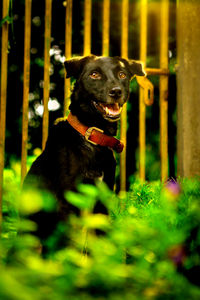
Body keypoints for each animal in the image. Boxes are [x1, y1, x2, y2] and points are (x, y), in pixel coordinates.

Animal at [23, 56, 145, 248]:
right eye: (94, 75)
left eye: (122, 74)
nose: (116, 91)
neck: (93, 137)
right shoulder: (67, 201)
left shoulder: (103, 200)